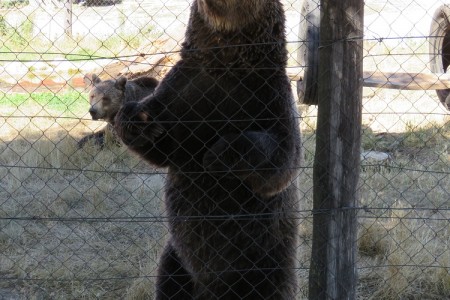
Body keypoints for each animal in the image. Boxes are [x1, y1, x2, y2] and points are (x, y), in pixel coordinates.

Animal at [115, 0, 302, 298]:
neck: (226, 65)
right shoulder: (184, 92)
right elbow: (162, 146)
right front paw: (139, 120)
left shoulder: (269, 96)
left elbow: (281, 160)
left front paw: (217, 154)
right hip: (179, 259)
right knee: (170, 280)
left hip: (265, 262)